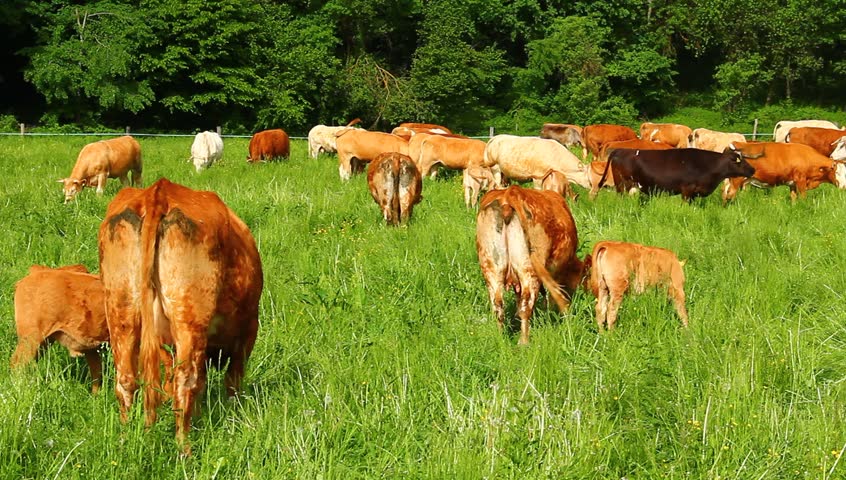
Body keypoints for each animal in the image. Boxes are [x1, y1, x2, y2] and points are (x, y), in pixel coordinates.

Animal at [99, 178, 263, 454]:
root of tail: (158, 192)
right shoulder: (249, 326)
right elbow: (232, 379)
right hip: (189, 318)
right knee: (185, 380)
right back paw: (184, 449)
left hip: (120, 308)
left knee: (126, 379)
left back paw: (125, 438)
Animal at [476, 186, 584, 344]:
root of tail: (509, 194)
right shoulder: (556, 272)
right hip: (529, 268)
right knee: (526, 305)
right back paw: (524, 342)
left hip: (490, 266)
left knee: (498, 305)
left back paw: (501, 339)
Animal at [600, 148, 756, 201]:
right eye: (741, 161)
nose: (753, 170)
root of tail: (620, 149)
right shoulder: (687, 190)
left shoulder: (694, 194)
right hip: (622, 185)